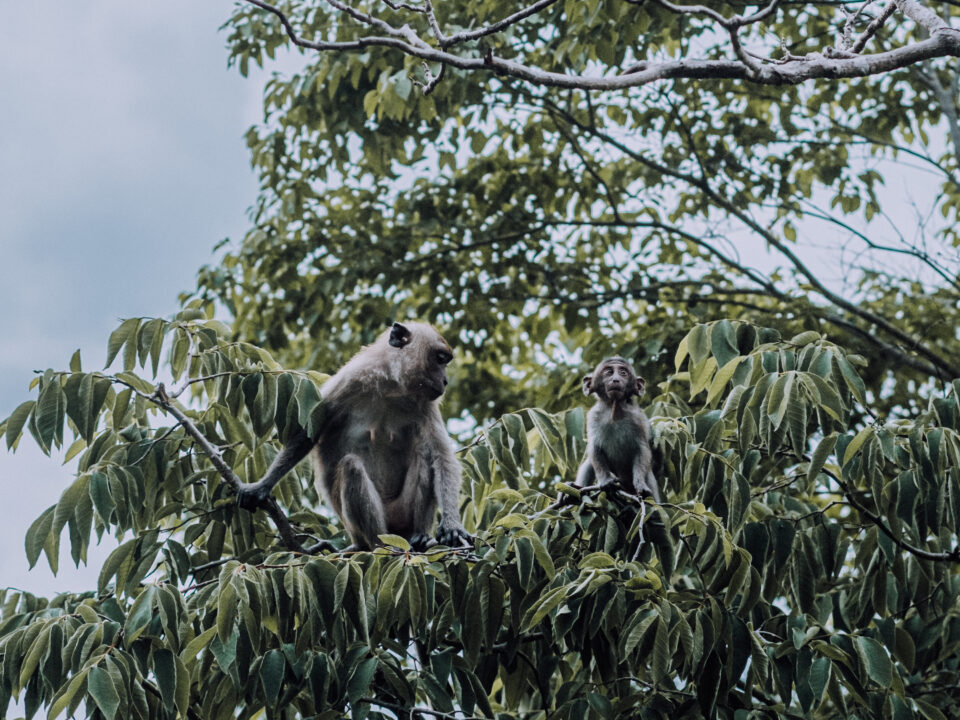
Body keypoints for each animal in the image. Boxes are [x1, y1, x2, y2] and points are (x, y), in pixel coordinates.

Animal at [236, 320, 468, 552]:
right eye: (440, 359)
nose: (445, 381)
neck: (391, 387)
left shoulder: (425, 404)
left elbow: (441, 456)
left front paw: (451, 525)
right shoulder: (348, 380)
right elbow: (307, 435)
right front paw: (262, 486)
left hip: (402, 514)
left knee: (425, 456)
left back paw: (418, 536)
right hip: (361, 527)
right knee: (351, 466)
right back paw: (381, 544)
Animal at [568, 356, 660, 500]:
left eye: (623, 373)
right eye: (608, 372)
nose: (615, 379)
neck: (614, 409)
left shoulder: (637, 418)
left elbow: (642, 449)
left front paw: (640, 484)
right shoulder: (594, 416)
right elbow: (594, 447)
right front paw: (606, 481)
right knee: (589, 464)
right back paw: (575, 490)